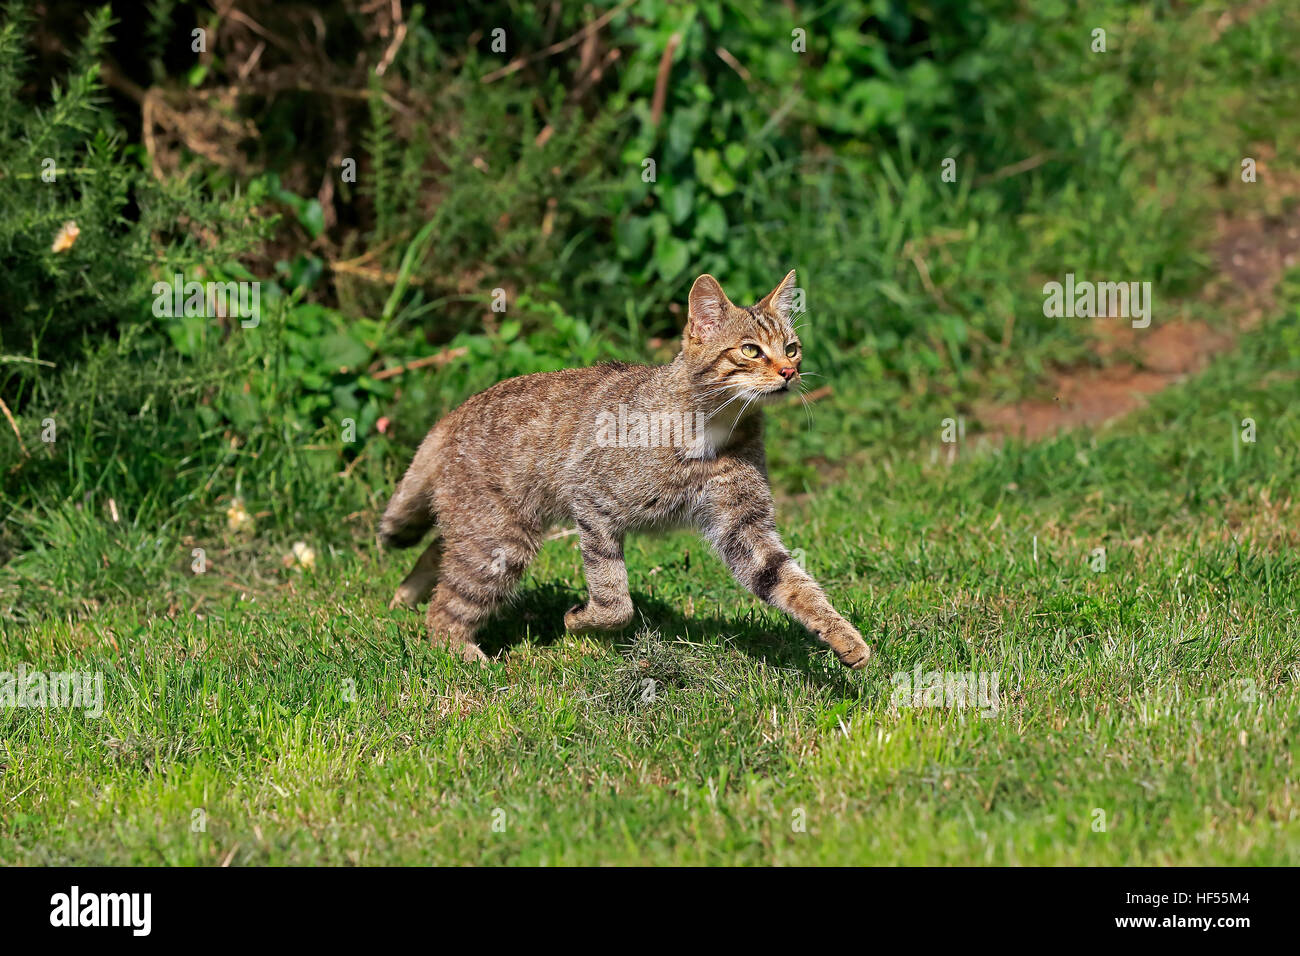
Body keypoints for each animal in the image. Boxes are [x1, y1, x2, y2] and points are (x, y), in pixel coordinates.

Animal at [379, 269, 878, 671]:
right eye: (751, 351)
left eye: (792, 348)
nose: (790, 372)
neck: (713, 427)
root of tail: (452, 414)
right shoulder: (592, 502)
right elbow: (615, 598)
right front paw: (581, 623)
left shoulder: (744, 526)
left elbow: (793, 583)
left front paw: (844, 637)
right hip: (499, 542)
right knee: (445, 608)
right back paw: (465, 656)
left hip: (489, 530)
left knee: (439, 551)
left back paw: (405, 595)